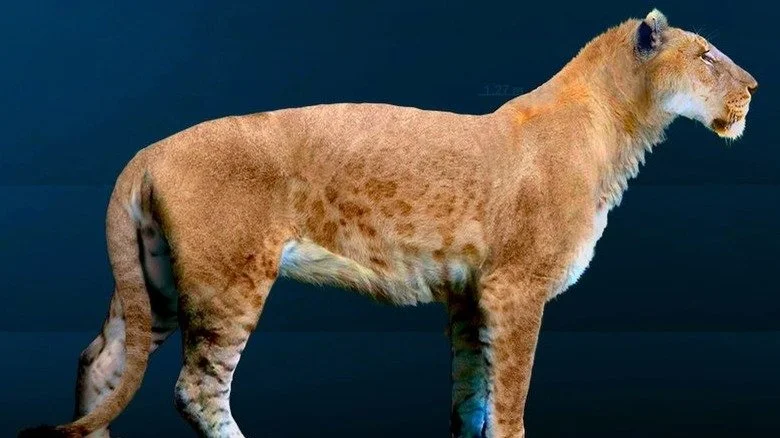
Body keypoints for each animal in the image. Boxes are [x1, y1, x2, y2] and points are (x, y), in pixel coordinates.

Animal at [21, 9, 756, 438]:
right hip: (228, 280)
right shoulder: (515, 289)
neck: (619, 126)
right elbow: (510, 399)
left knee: (103, 358)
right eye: (707, 55)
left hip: (158, 280)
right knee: (196, 390)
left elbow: (472, 395)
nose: (753, 88)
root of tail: (148, 149)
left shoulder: (470, 293)